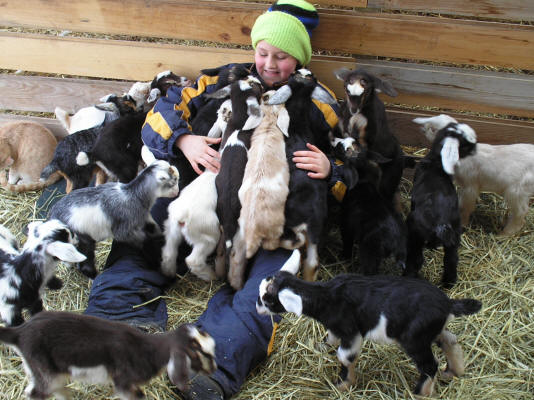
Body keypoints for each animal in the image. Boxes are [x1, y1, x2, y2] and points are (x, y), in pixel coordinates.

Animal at [0, 310, 218, 398]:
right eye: (198, 354)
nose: (214, 369)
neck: (149, 349)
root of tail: (20, 332)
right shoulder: (123, 381)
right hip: (44, 369)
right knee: (36, 393)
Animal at [47, 159, 180, 278]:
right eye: (173, 181)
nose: (177, 192)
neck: (133, 195)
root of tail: (53, 217)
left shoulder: (144, 217)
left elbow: (154, 228)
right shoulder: (124, 231)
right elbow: (141, 241)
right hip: (82, 238)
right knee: (85, 261)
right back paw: (93, 276)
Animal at [258, 250, 484, 396]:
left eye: (267, 299)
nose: (257, 308)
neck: (326, 296)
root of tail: (448, 304)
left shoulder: (351, 331)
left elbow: (345, 356)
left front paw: (343, 385)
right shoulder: (337, 327)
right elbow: (331, 338)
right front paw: (321, 346)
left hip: (414, 339)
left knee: (429, 365)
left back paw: (421, 393)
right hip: (430, 331)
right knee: (450, 339)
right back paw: (453, 371)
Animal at [408, 118, 480, 288]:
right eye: (466, 145)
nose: (476, 149)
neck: (435, 164)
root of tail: (442, 222)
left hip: (415, 233)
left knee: (415, 261)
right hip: (455, 235)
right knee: (451, 260)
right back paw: (448, 283)